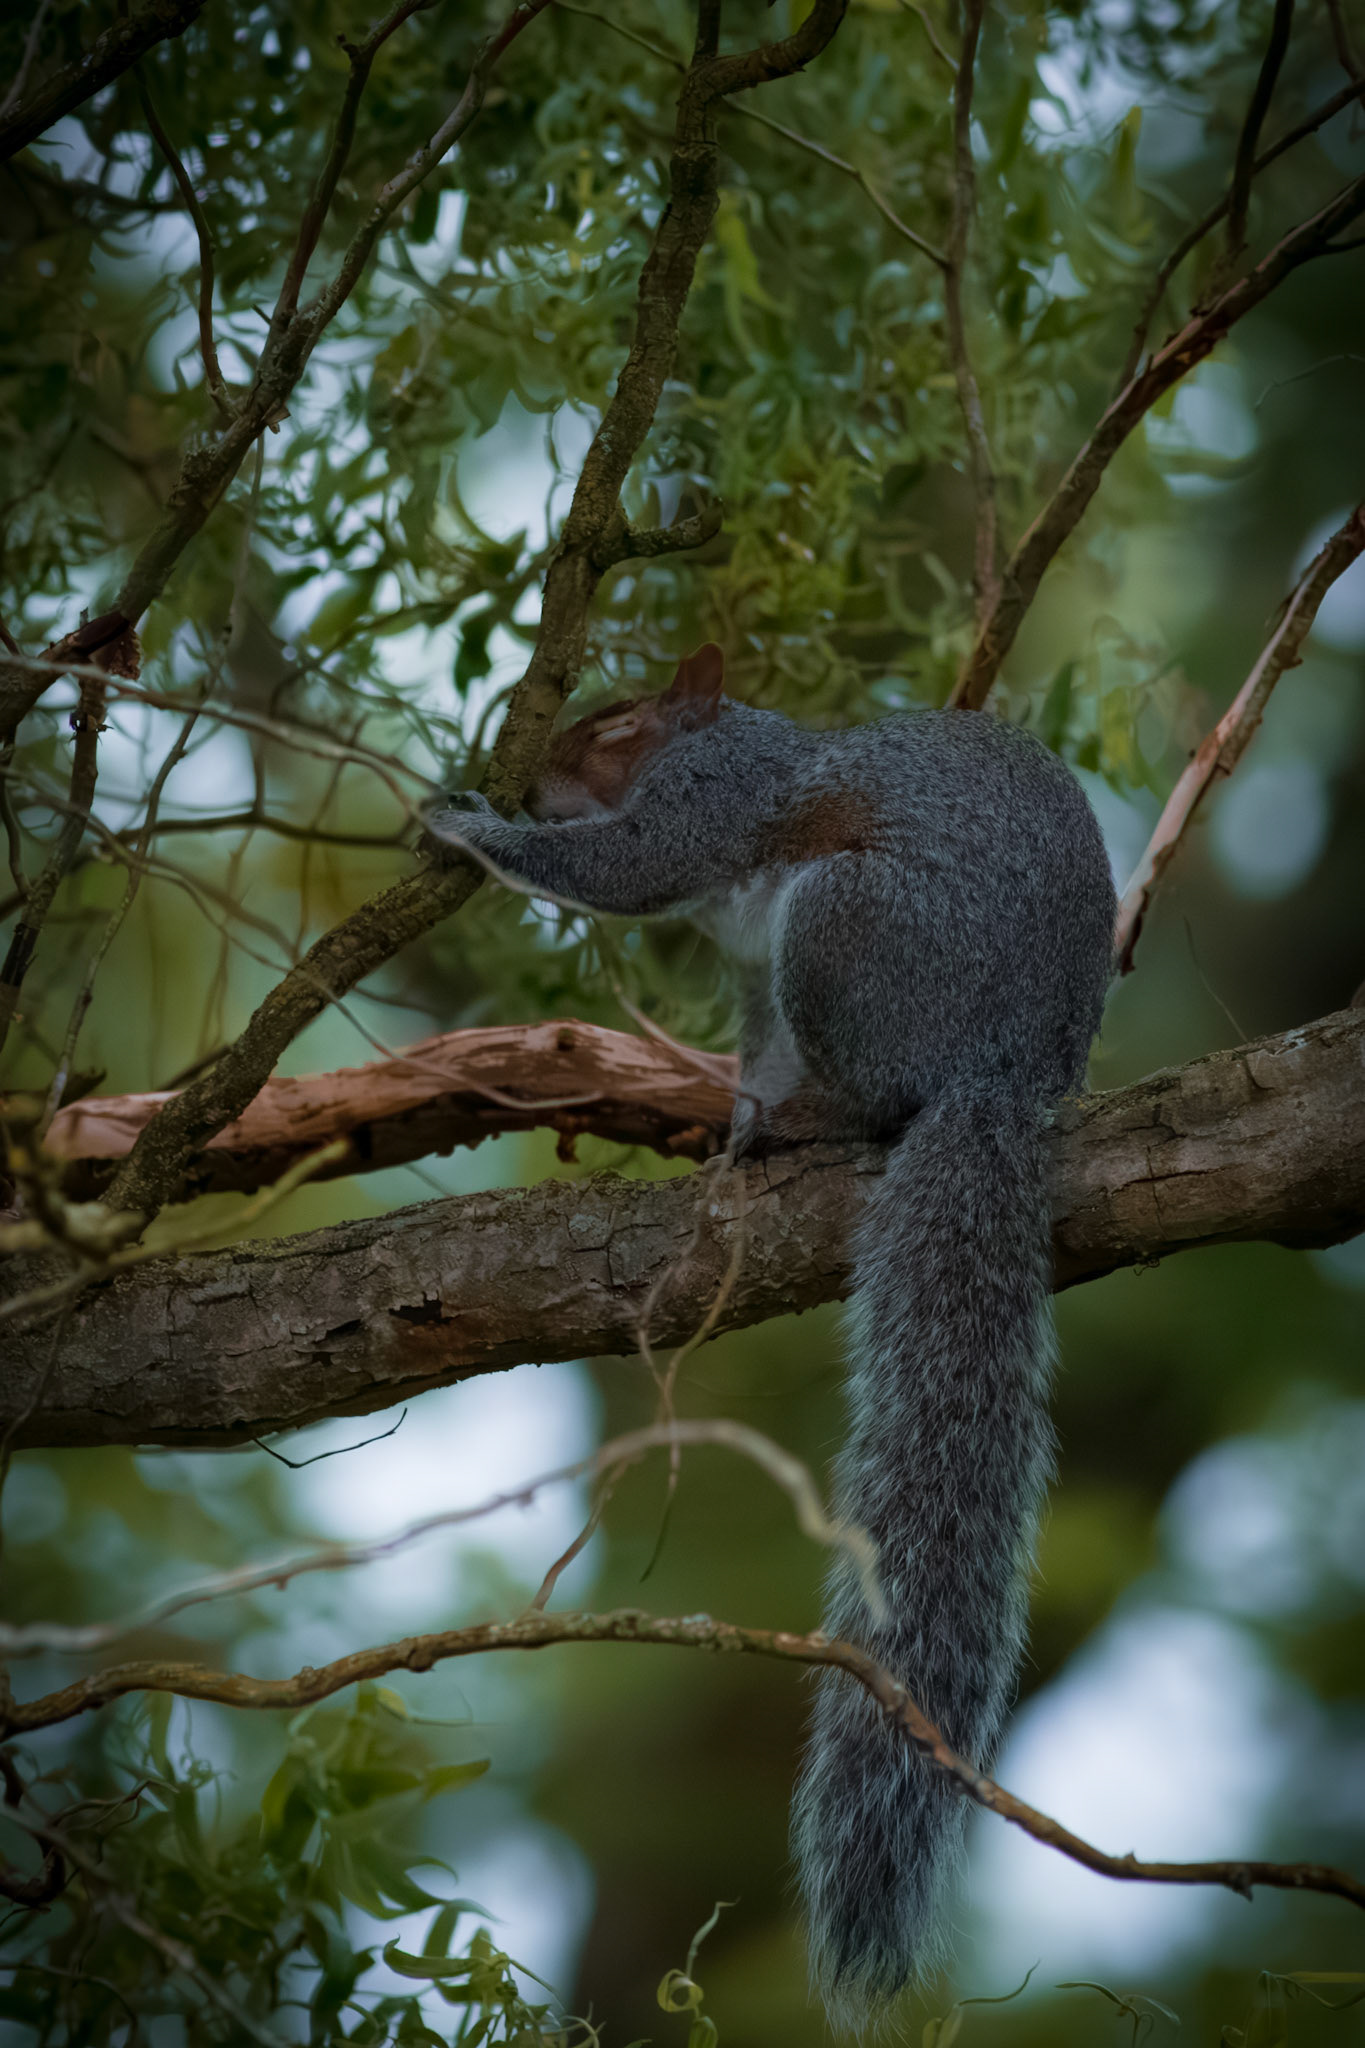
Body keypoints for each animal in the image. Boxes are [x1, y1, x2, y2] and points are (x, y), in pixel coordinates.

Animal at [429, 643, 1116, 2025]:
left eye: (619, 725)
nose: (533, 773)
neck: (735, 734)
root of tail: (1008, 1070)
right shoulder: (751, 987)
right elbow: (752, 1053)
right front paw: (732, 1126)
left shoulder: (712, 803)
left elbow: (622, 865)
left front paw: (464, 818)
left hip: (846, 930)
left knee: (879, 1095)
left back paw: (827, 1125)